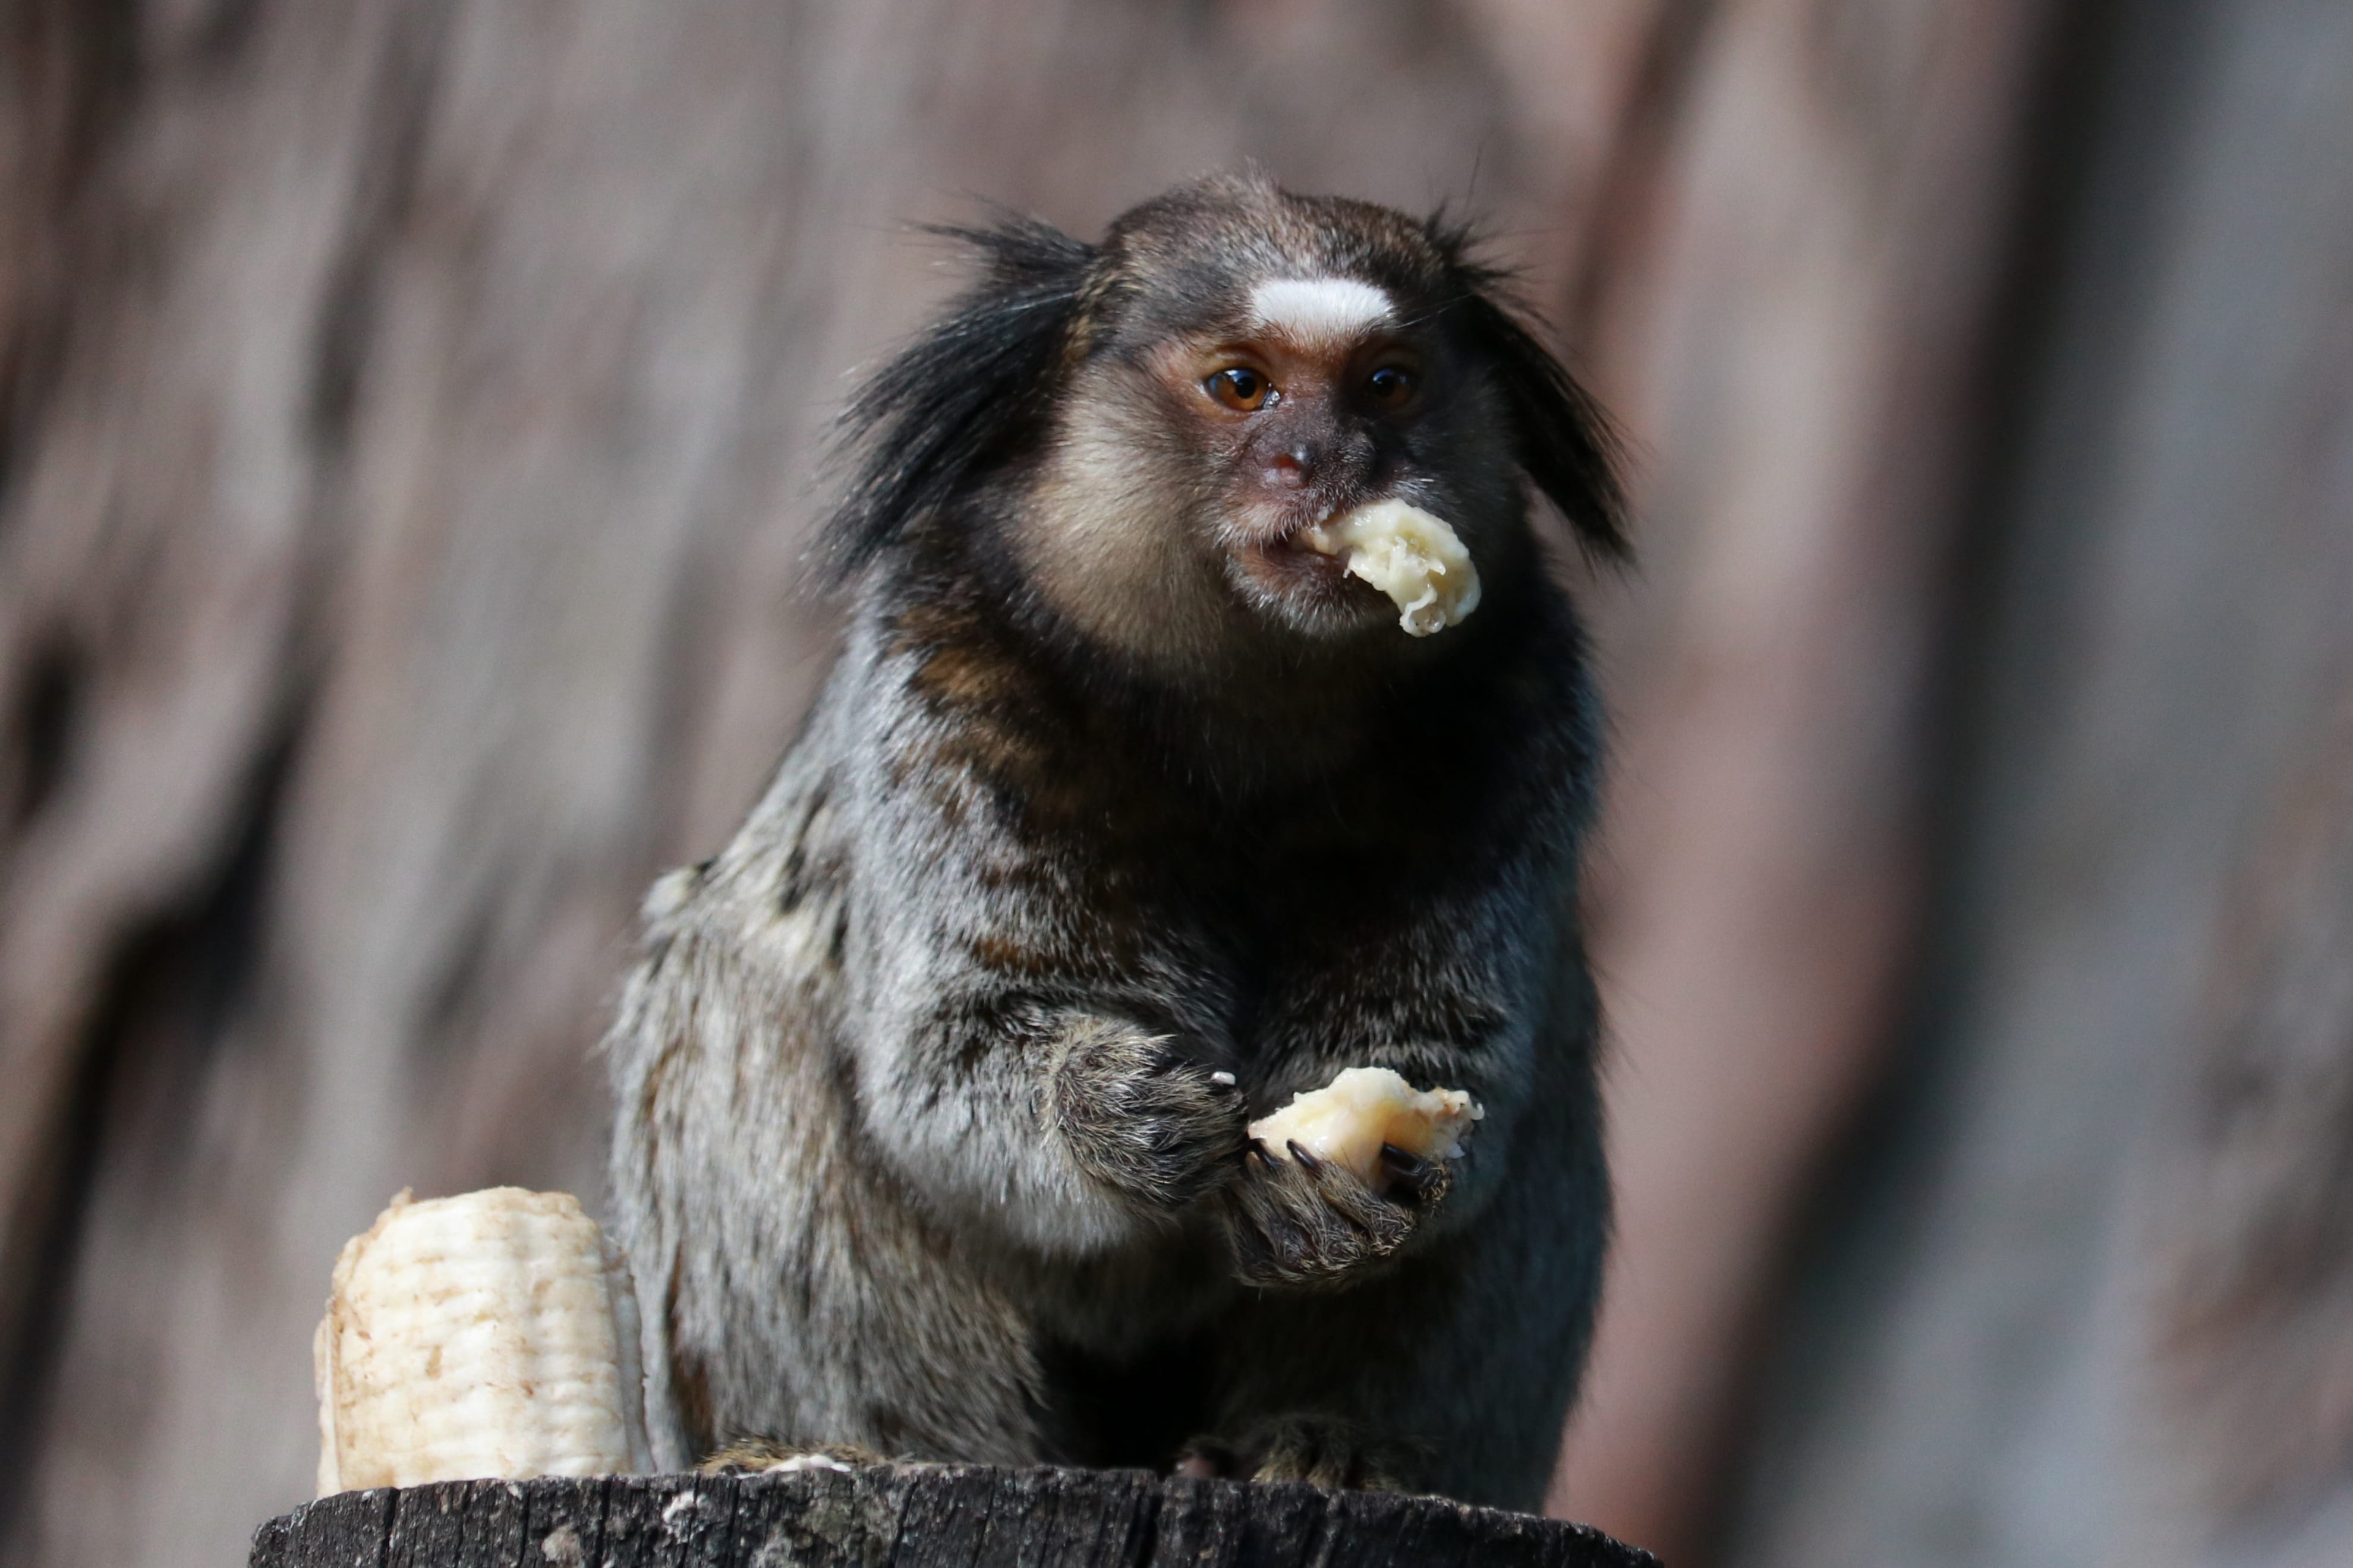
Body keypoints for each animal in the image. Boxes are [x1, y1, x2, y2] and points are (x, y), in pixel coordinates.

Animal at [604, 168, 1626, 1513]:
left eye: (1385, 384)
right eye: (1240, 385)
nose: (1329, 463)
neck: (1245, 717)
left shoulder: (1525, 711)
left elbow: (1463, 1059)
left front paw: (1361, 1179)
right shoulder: (942, 675)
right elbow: (947, 1058)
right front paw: (1112, 1115)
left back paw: (1327, 1441)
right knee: (731, 991)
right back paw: (869, 1443)